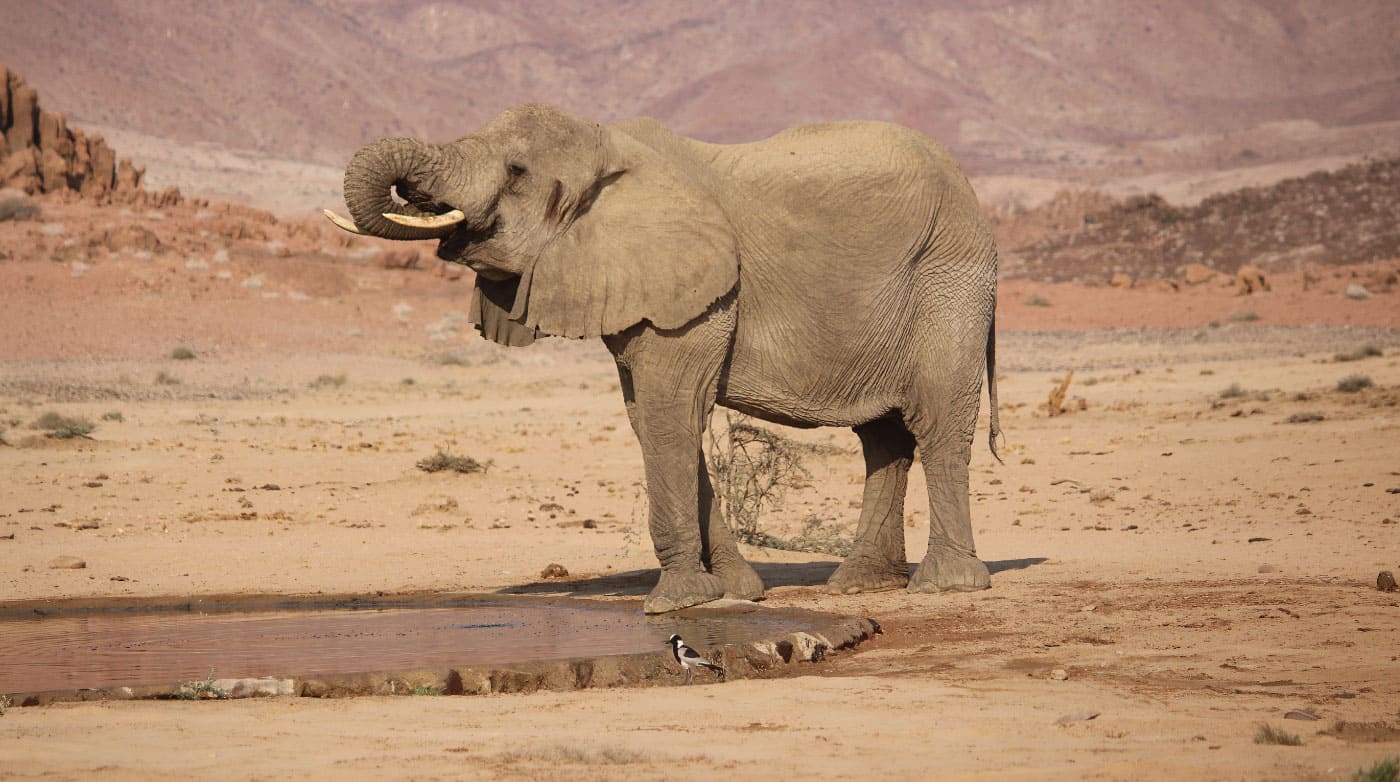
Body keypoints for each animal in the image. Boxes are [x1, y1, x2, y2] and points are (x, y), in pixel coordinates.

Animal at [325, 104, 1001, 614]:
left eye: (516, 171)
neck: (609, 146)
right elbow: (651, 420)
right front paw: (736, 592)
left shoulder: (697, 297)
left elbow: (668, 413)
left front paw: (676, 603)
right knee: (883, 438)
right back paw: (859, 584)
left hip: (949, 275)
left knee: (937, 422)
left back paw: (944, 584)